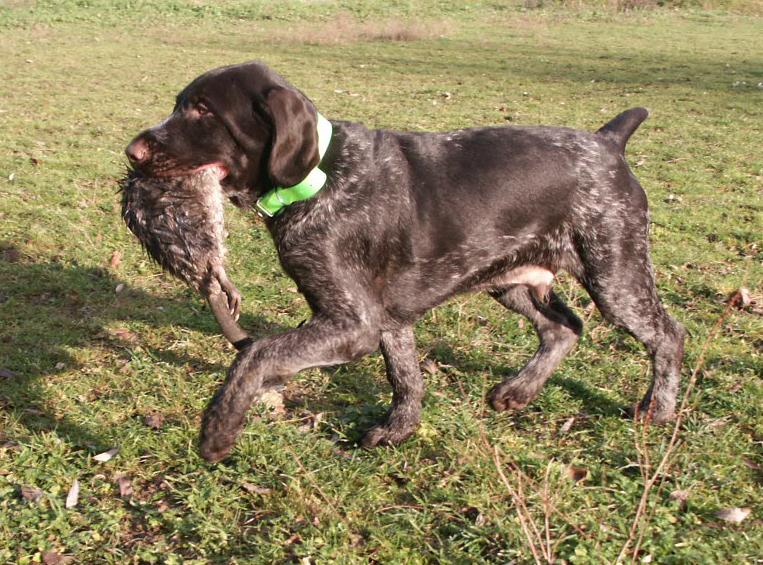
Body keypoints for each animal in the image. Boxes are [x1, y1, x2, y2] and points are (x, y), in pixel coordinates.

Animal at [125, 60, 688, 462]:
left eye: (204, 111)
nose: (132, 152)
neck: (321, 177)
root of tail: (608, 141)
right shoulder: (385, 319)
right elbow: (405, 376)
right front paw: (400, 430)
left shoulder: (352, 323)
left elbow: (257, 353)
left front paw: (218, 429)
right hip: (511, 281)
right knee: (564, 327)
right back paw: (518, 391)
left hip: (615, 275)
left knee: (668, 335)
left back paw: (658, 410)